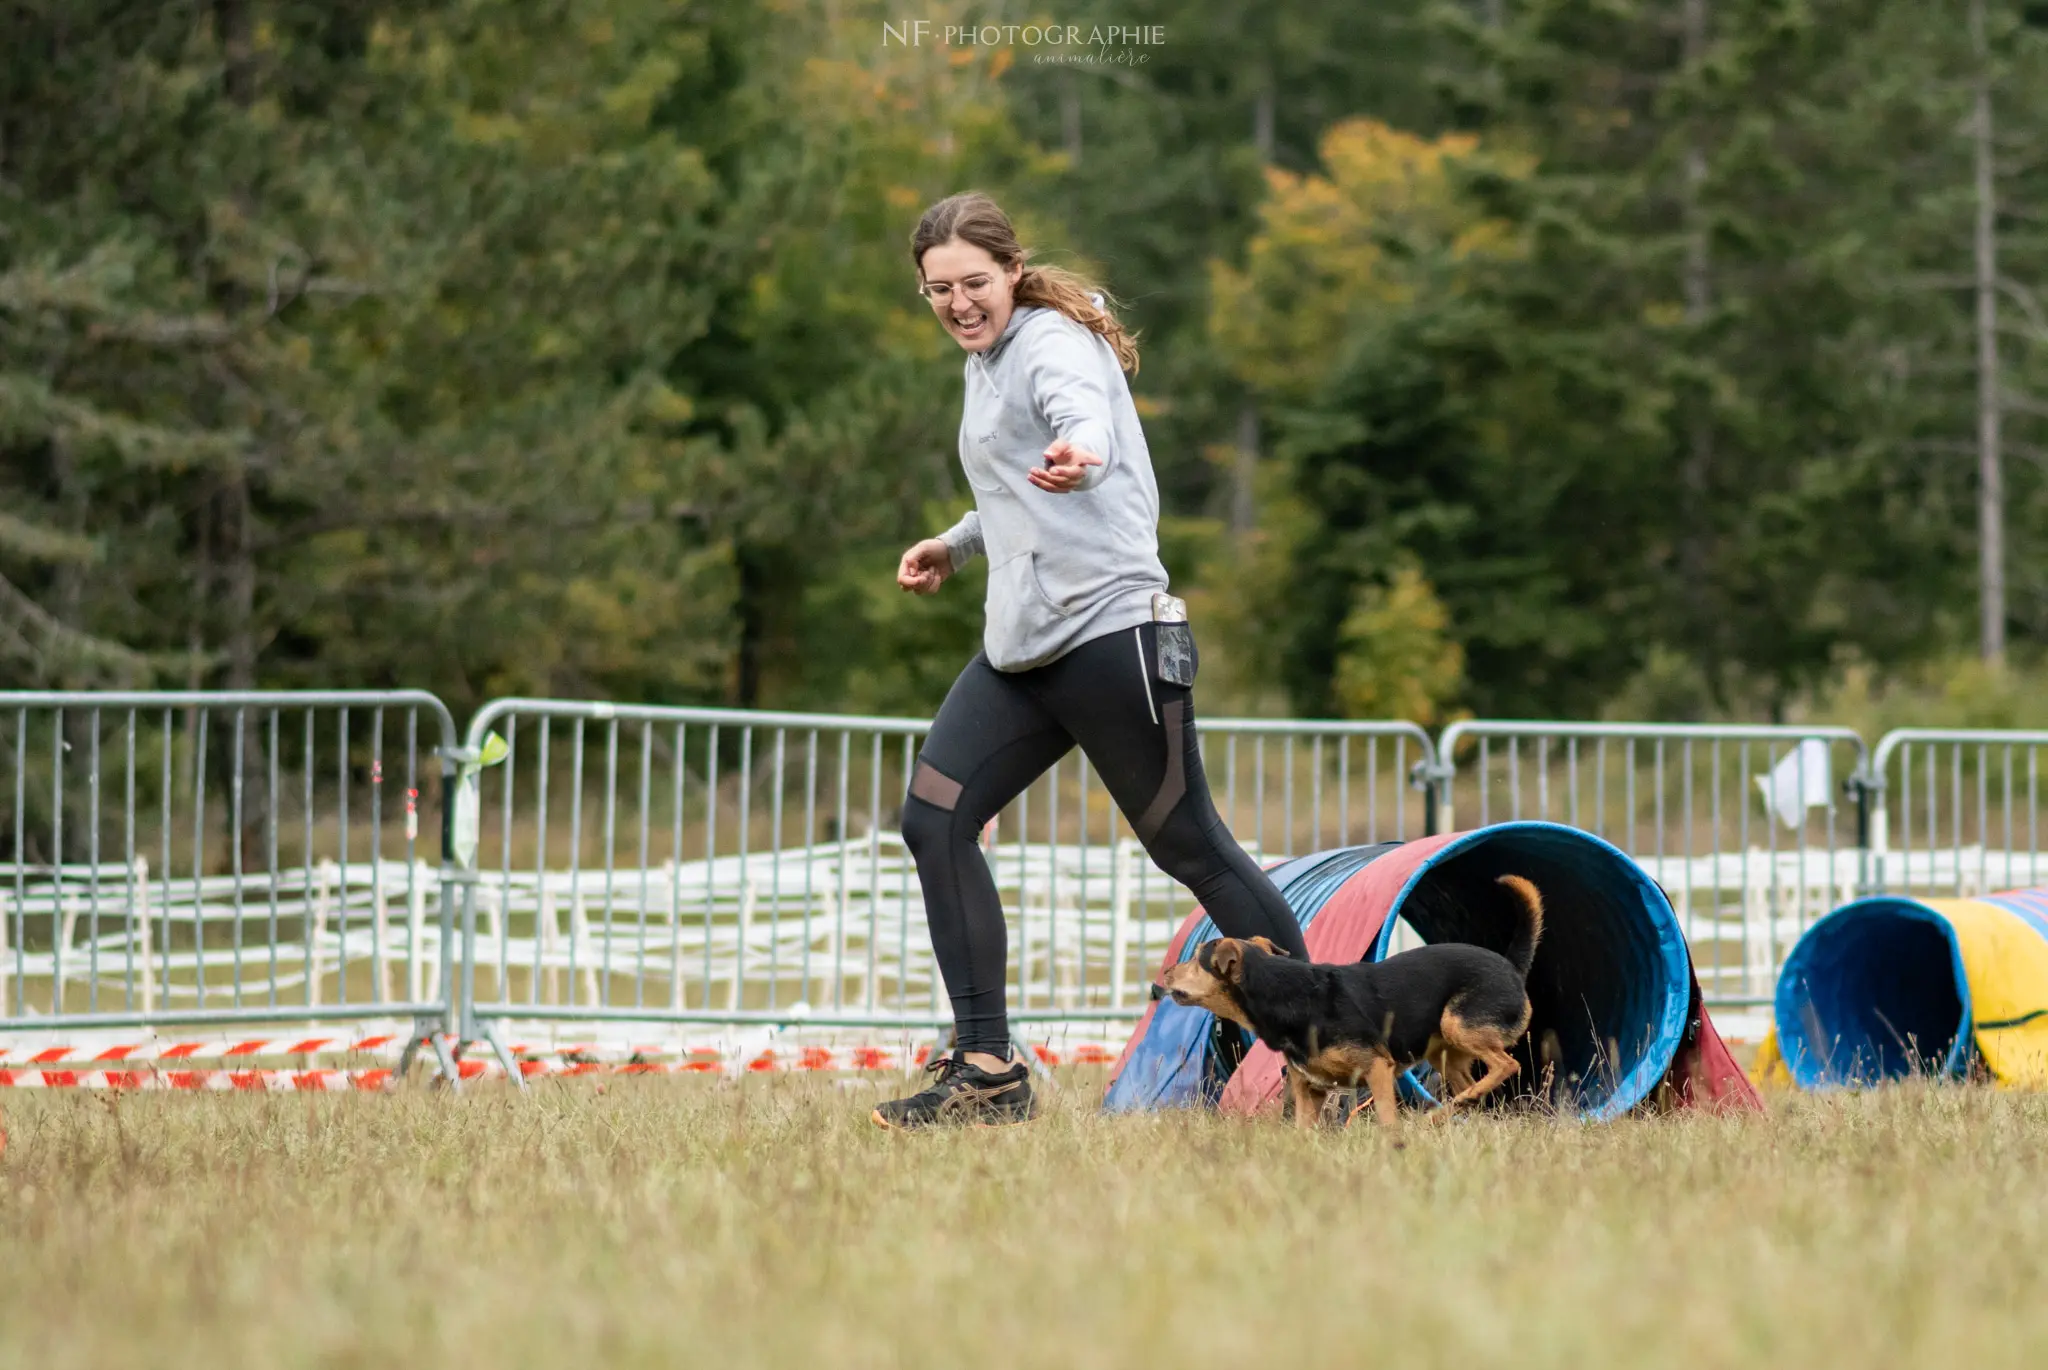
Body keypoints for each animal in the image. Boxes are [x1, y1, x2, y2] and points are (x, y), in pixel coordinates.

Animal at [1163, 876, 1540, 1130]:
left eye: (1196, 959)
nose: (1165, 972)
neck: (1283, 992)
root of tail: (1512, 965)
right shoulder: (1309, 1089)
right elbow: (1303, 1130)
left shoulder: (1377, 1068)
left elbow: (1387, 1119)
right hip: (1445, 1053)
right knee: (1473, 1091)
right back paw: (1452, 1111)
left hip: (1458, 1024)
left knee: (1506, 1065)